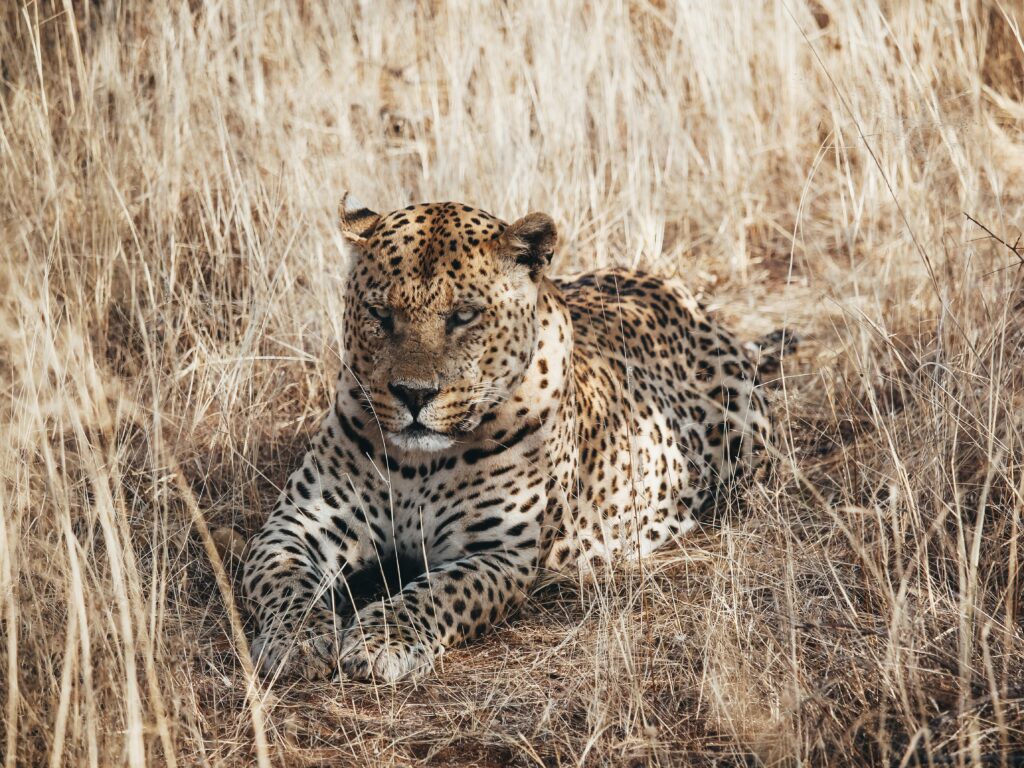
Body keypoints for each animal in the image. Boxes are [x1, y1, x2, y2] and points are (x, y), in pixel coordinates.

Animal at [241, 195, 775, 684]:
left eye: (463, 316)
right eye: (379, 313)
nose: (414, 394)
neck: (418, 465)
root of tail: (675, 287)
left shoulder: (498, 553)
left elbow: (433, 594)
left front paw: (380, 642)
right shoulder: (295, 525)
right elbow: (284, 581)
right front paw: (298, 639)